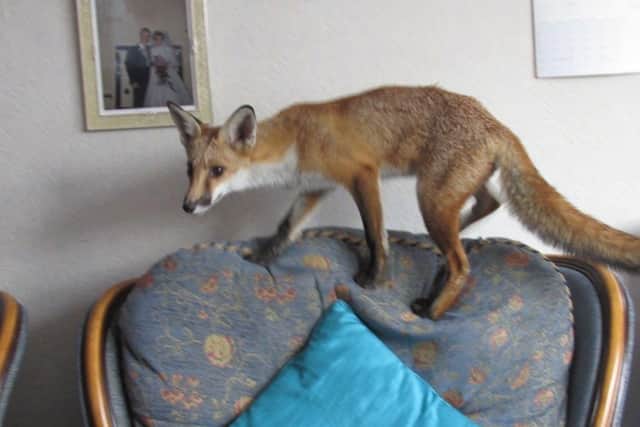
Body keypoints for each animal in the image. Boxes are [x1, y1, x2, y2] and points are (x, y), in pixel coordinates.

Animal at [167, 86, 640, 320]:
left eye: (217, 171)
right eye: (189, 169)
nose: (188, 207)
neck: (296, 141)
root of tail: (496, 123)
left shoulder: (362, 174)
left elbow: (375, 235)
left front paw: (373, 278)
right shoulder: (315, 187)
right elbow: (287, 227)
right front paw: (265, 254)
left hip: (429, 197)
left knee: (464, 264)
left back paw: (433, 310)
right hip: (446, 194)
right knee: (487, 205)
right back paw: (457, 241)